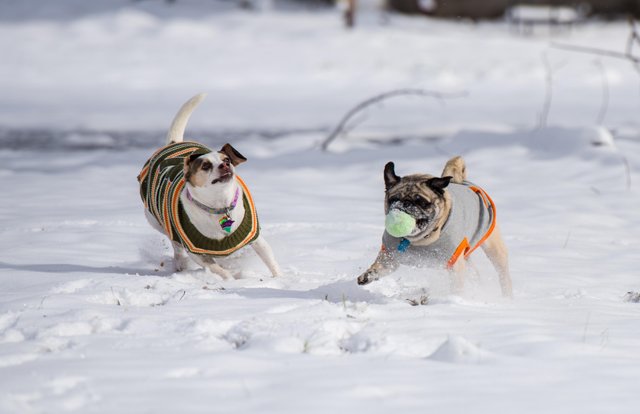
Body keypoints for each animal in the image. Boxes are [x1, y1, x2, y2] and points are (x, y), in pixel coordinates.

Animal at [139, 94, 282, 280]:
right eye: (205, 166)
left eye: (226, 160)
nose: (225, 165)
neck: (220, 205)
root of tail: (173, 143)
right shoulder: (196, 252)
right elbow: (217, 268)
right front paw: (231, 279)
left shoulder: (255, 238)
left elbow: (269, 258)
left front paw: (281, 278)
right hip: (156, 221)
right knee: (175, 244)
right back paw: (180, 263)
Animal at [358, 156, 512, 298]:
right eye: (394, 199)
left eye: (421, 201)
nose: (405, 204)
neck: (419, 240)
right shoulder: (390, 257)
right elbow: (379, 267)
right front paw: (368, 274)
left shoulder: (454, 264)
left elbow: (456, 286)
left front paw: (454, 299)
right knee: (474, 273)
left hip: (494, 250)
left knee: (503, 274)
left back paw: (507, 297)